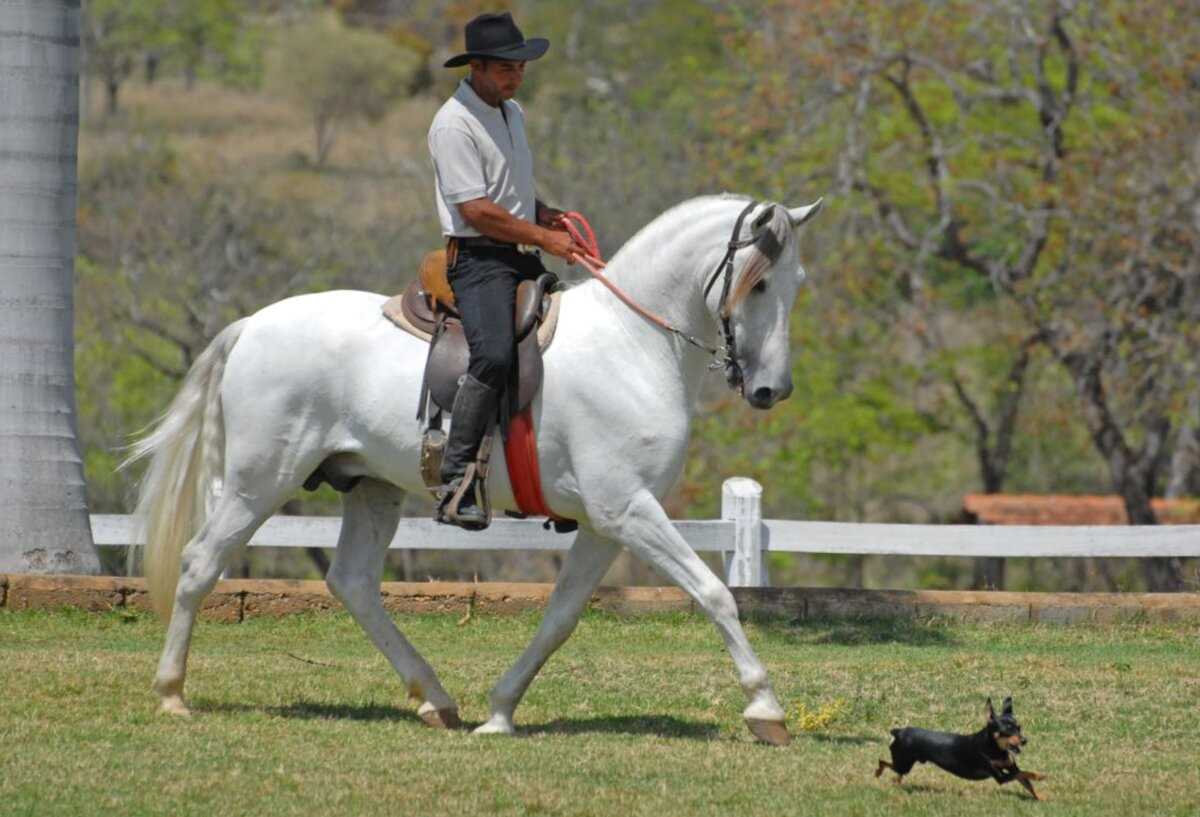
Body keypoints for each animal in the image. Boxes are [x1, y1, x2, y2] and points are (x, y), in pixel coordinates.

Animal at [131, 194, 825, 743]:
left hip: (372, 488)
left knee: (352, 583)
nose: (773, 390)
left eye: (796, 283)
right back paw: (171, 692)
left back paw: (434, 698)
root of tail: (251, 325)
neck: (632, 344)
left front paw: (500, 710)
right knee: (200, 563)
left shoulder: (607, 524)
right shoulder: (628, 511)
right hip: (259, 480)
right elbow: (714, 593)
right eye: (759, 283)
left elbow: (560, 618)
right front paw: (766, 708)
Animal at [878, 695, 1046, 796]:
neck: (995, 748)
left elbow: (1027, 783)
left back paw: (895, 782)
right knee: (883, 762)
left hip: (905, 765)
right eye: (1008, 730)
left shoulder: (1010, 768)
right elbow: (1024, 773)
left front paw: (1043, 798)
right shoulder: (1000, 777)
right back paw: (878, 773)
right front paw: (1040, 775)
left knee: (894, 771)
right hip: (903, 763)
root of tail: (899, 731)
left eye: (1019, 728)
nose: (1024, 740)